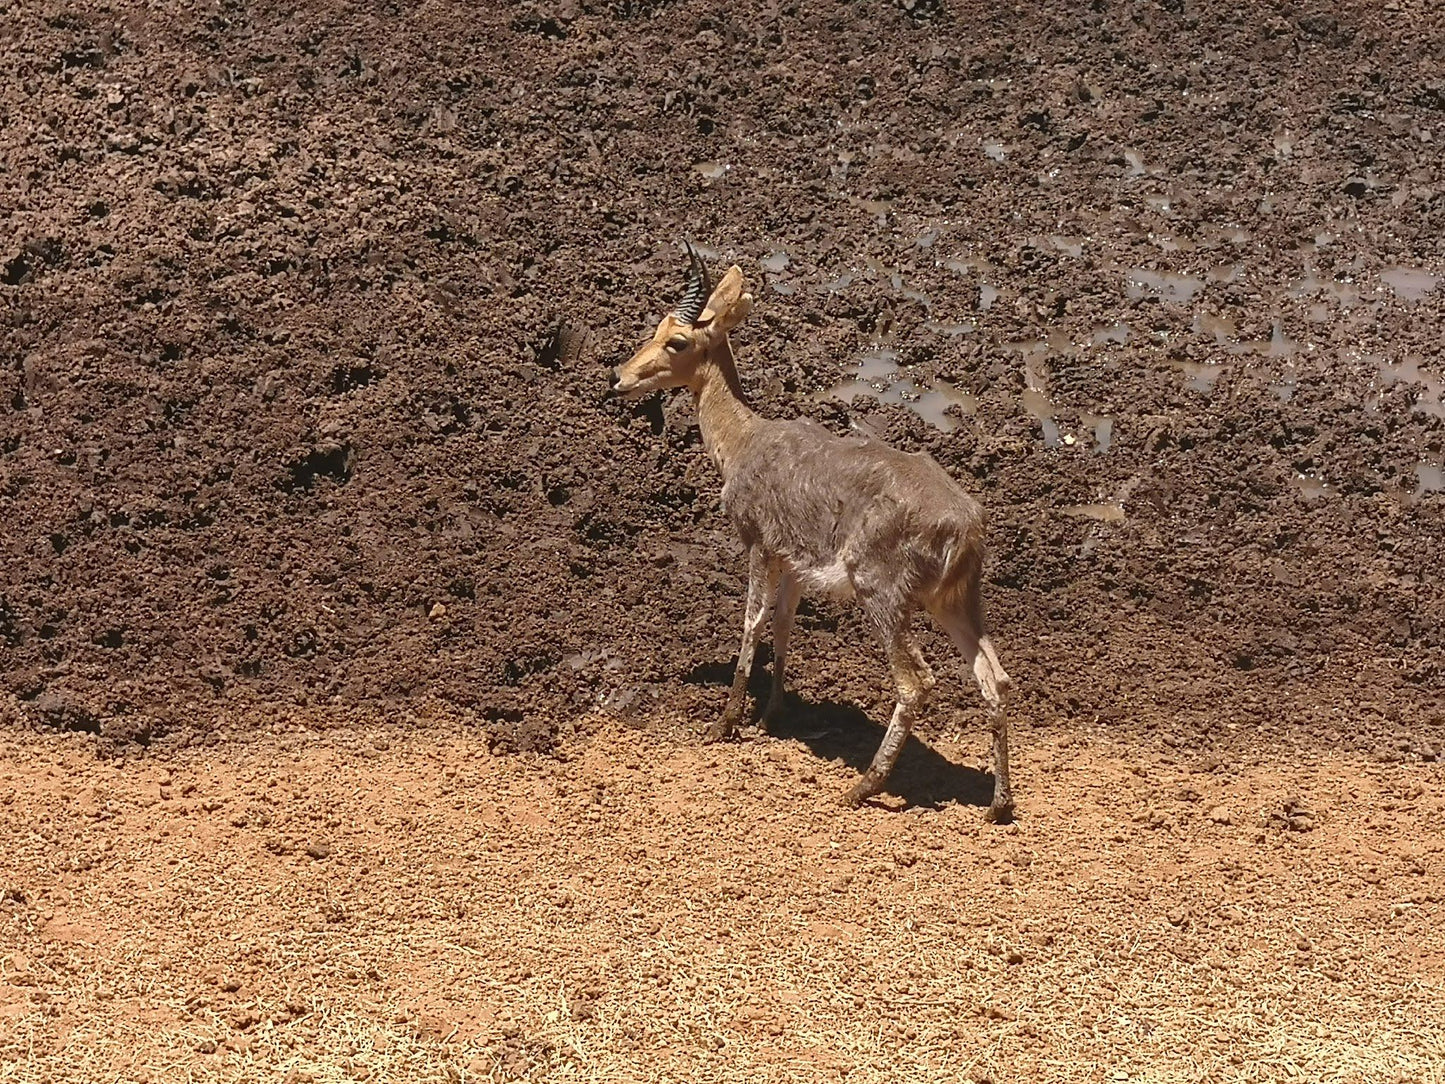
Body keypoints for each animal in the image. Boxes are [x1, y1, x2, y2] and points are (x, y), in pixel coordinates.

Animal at [609, 245, 1017, 820]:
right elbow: (783, 624)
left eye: (678, 340)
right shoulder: (795, 562)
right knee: (994, 678)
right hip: (956, 602)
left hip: (883, 595)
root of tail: (966, 525)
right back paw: (998, 805)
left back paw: (861, 787)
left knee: (916, 682)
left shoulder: (759, 546)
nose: (619, 377)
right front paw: (770, 715)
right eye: (658, 325)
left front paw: (724, 722)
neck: (746, 442)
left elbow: (752, 622)